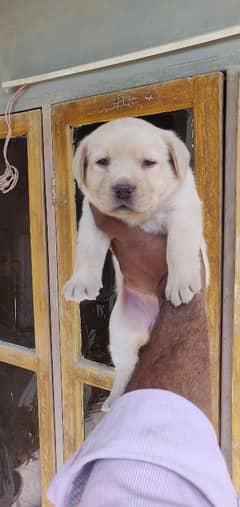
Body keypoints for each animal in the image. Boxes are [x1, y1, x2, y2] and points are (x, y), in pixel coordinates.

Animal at [63, 118, 208, 412]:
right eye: (102, 162)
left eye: (149, 163)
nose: (123, 188)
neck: (142, 216)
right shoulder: (93, 217)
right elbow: (88, 250)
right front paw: (81, 282)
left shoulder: (183, 208)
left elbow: (179, 244)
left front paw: (181, 283)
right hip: (121, 330)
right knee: (125, 369)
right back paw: (115, 399)